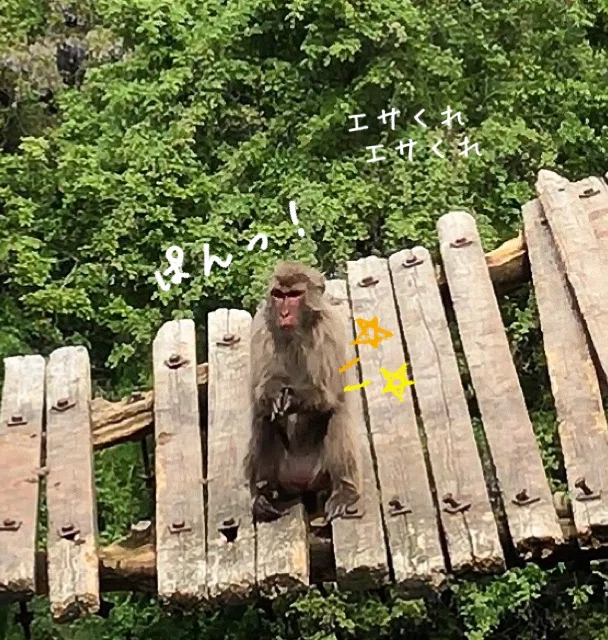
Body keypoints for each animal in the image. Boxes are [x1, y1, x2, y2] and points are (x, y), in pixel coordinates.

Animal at [244, 261, 361, 524]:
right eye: (279, 295)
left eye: (295, 295)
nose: (284, 314)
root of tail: (302, 483)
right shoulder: (261, 328)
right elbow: (260, 394)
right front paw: (275, 394)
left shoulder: (329, 329)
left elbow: (329, 394)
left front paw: (294, 397)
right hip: (283, 475)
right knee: (262, 419)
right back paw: (264, 497)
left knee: (337, 415)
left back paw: (345, 491)